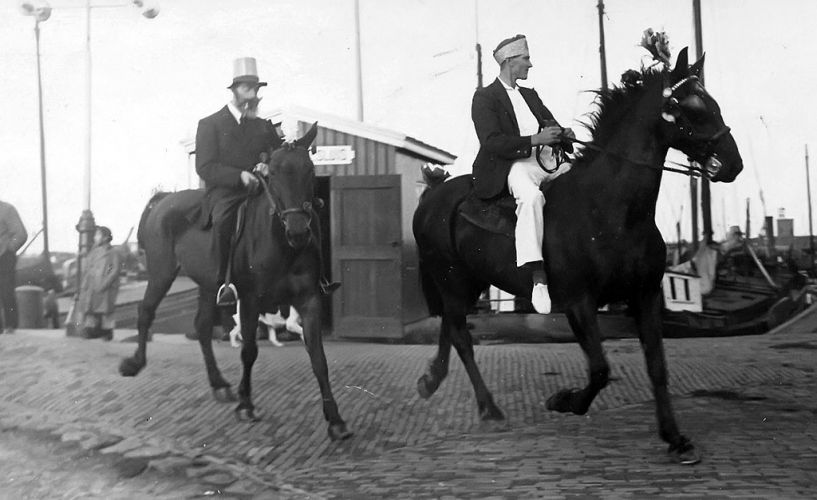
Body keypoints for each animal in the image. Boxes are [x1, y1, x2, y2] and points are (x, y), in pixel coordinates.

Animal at [118, 123, 350, 440]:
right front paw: (246, 405)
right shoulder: (251, 300)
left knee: (202, 327)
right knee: (146, 312)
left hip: (206, 284)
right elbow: (249, 351)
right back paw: (134, 363)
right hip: (161, 272)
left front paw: (335, 418)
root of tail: (163, 200)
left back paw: (219, 384)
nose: (299, 232)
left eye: (310, 170)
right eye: (272, 172)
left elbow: (318, 358)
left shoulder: (309, 301)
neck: (281, 244)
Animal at [412, 48, 744, 462]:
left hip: (467, 284)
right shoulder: (578, 302)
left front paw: (674, 436)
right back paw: (489, 407)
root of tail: (434, 195)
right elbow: (600, 369)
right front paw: (564, 401)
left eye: (712, 103)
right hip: (452, 279)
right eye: (690, 109)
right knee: (460, 335)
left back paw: (432, 380)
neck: (611, 210)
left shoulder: (646, 296)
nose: (733, 163)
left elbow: (657, 367)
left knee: (449, 327)